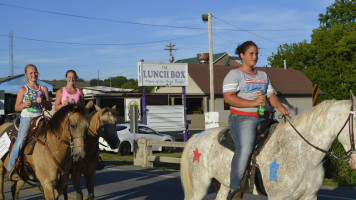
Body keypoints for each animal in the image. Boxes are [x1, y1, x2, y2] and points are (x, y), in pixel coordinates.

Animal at [181, 91, 356, 199]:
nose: (354, 161)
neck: (302, 153)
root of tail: (197, 136)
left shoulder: (310, 196)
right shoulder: (278, 197)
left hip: (223, 185)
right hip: (200, 187)